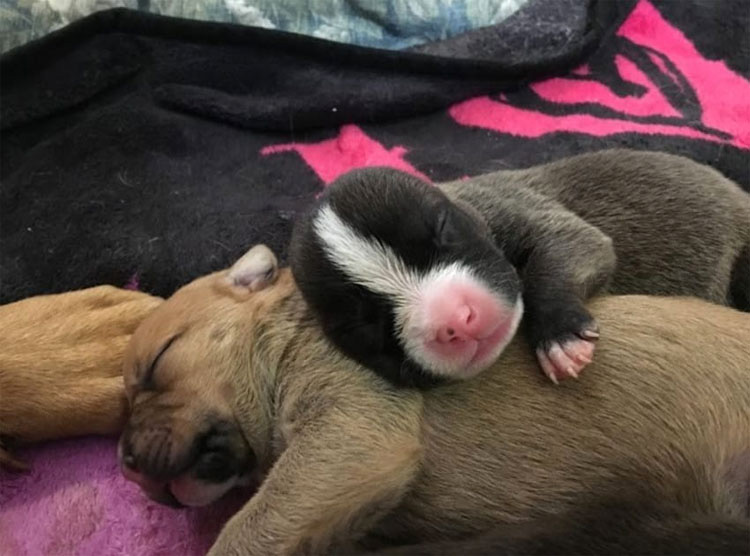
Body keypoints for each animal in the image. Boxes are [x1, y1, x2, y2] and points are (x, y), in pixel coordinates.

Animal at [290, 150, 750, 388]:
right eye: (365, 327)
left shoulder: (522, 207)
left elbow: (561, 255)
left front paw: (559, 334)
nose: (456, 318)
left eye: (443, 229)